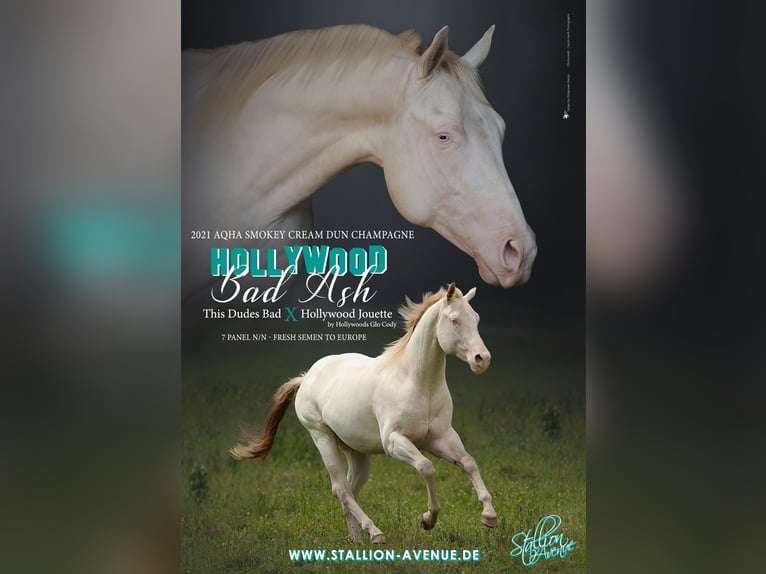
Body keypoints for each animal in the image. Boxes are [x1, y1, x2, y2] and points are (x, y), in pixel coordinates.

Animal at [230, 283, 497, 543]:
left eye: (476, 318)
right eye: (454, 320)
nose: (482, 359)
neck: (418, 384)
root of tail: (306, 377)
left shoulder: (441, 438)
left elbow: (469, 463)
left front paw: (489, 516)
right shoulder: (394, 442)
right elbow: (427, 467)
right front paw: (427, 519)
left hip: (357, 452)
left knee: (351, 490)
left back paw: (357, 540)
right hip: (322, 437)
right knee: (341, 489)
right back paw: (375, 533)